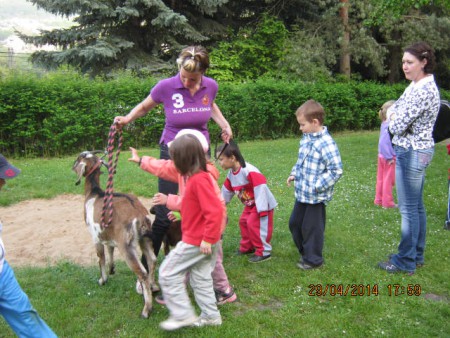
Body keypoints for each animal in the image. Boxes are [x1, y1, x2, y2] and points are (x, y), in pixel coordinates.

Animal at [72, 151, 158, 320]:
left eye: (79, 157)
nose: (72, 166)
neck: (94, 194)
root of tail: (139, 215)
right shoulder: (109, 236)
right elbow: (110, 251)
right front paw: (112, 269)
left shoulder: (95, 237)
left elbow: (101, 258)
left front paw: (103, 280)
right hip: (144, 239)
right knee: (152, 260)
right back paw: (153, 286)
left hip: (127, 246)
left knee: (142, 272)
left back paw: (146, 309)